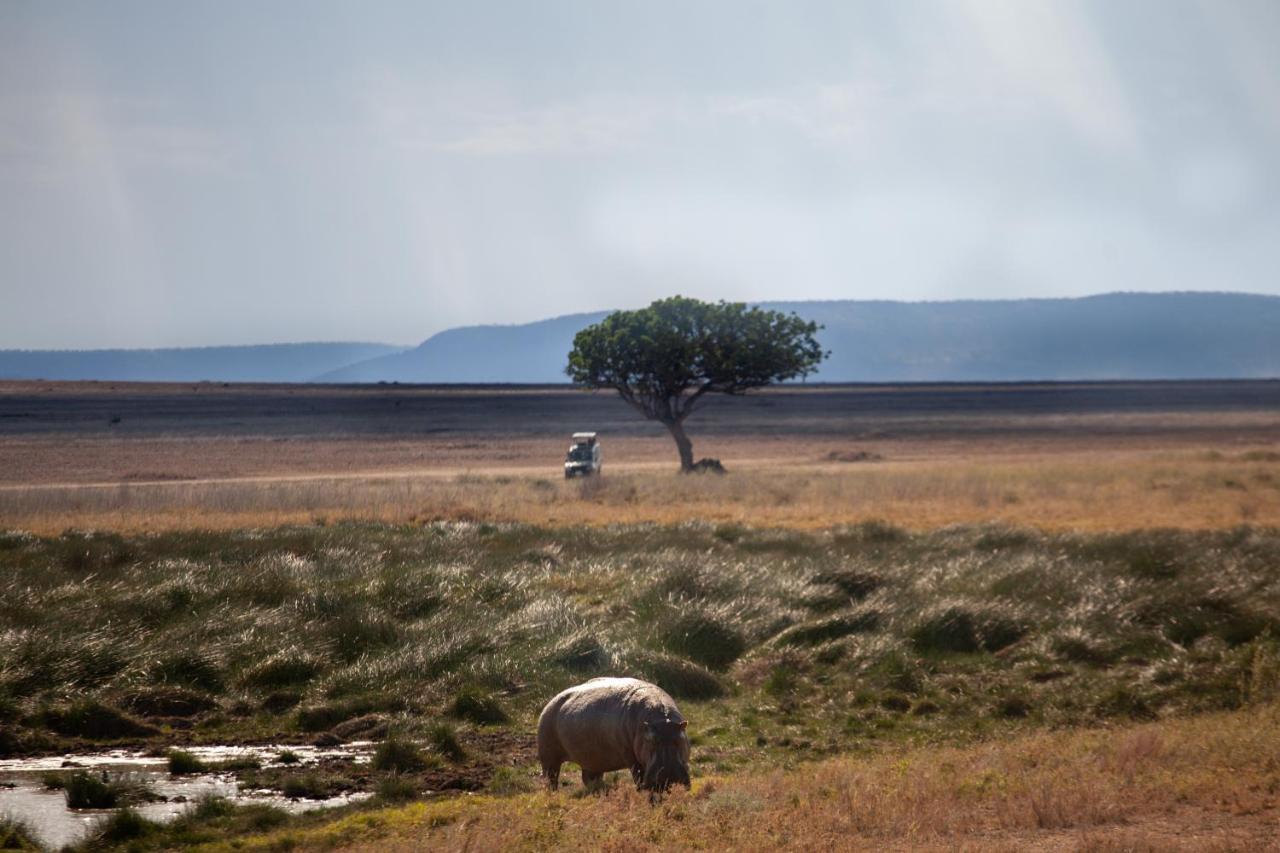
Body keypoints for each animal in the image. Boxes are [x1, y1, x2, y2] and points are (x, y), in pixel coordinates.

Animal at [537, 676, 691, 788]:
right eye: (651, 742)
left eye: (680, 740)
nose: (668, 776)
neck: (661, 718)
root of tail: (550, 701)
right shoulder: (633, 758)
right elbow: (639, 777)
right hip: (549, 758)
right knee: (551, 779)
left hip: (593, 760)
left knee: (589, 778)